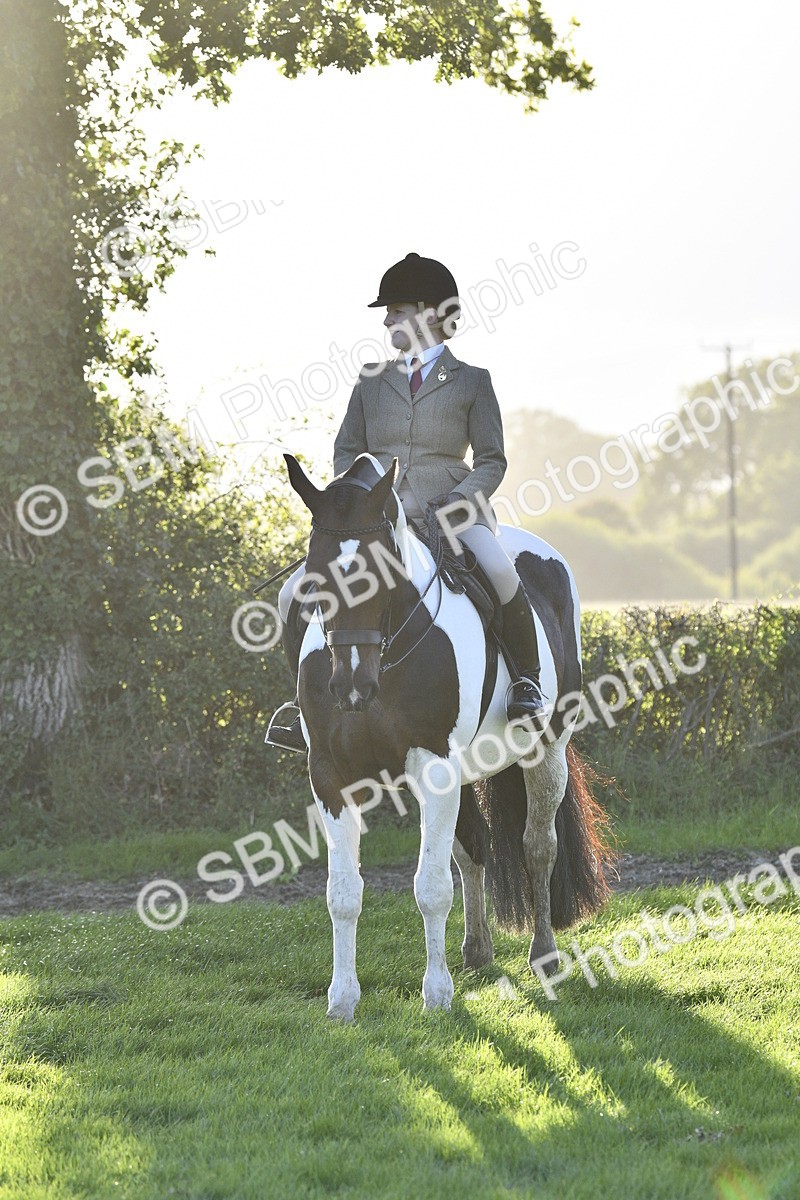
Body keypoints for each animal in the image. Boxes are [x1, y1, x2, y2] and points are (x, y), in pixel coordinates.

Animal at [282, 451, 612, 1021]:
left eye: (380, 571)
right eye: (314, 573)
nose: (350, 686)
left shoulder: (434, 767)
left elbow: (431, 886)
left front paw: (435, 995)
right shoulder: (330, 775)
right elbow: (343, 892)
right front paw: (342, 1000)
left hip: (546, 749)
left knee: (537, 846)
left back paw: (543, 956)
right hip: (465, 771)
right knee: (473, 849)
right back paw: (476, 950)